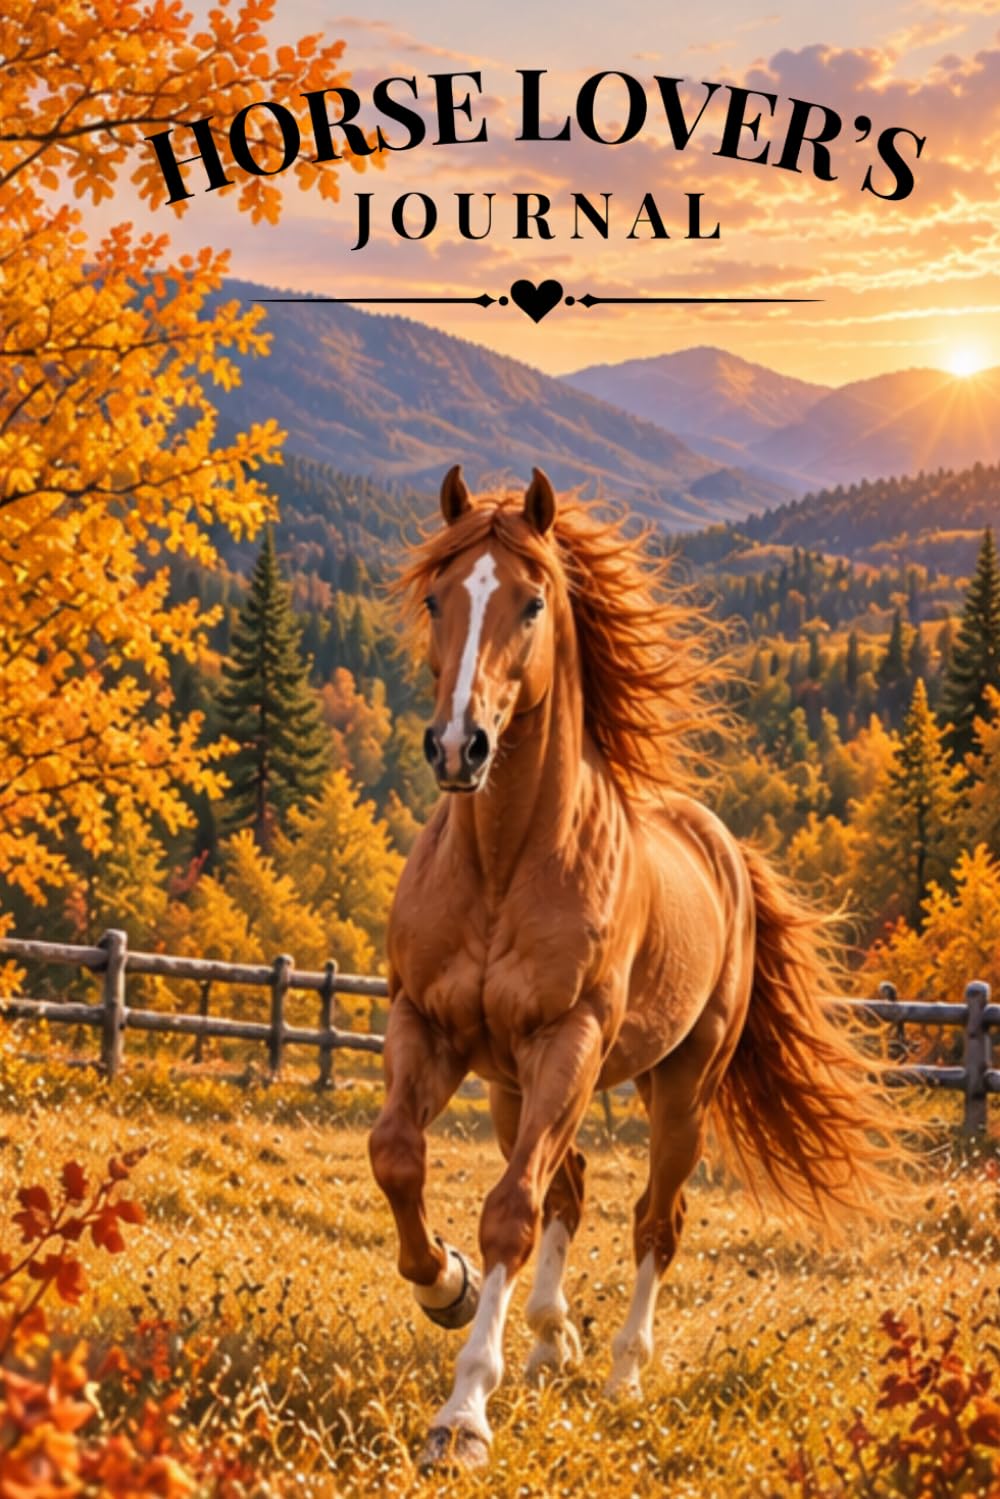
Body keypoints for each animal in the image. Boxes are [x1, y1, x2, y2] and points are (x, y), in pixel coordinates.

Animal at [368, 466, 904, 1471]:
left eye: (533, 602)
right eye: (435, 599)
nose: (459, 746)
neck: (503, 865)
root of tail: (723, 845)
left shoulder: (569, 1040)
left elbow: (509, 1211)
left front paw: (463, 1415)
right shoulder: (426, 1024)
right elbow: (400, 1159)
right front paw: (447, 1285)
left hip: (679, 1087)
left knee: (654, 1217)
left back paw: (621, 1373)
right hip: (513, 1085)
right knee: (569, 1186)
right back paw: (549, 1339)